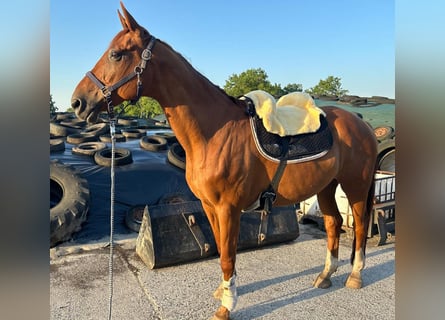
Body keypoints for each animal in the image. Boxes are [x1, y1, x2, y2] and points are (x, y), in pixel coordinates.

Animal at [71, 3, 376, 320]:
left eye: (116, 54)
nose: (77, 102)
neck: (215, 132)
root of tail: (361, 124)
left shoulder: (229, 209)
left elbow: (229, 256)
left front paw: (226, 306)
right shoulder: (209, 207)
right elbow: (219, 250)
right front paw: (223, 291)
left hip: (355, 186)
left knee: (360, 225)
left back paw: (355, 275)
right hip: (327, 186)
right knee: (333, 223)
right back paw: (326, 276)